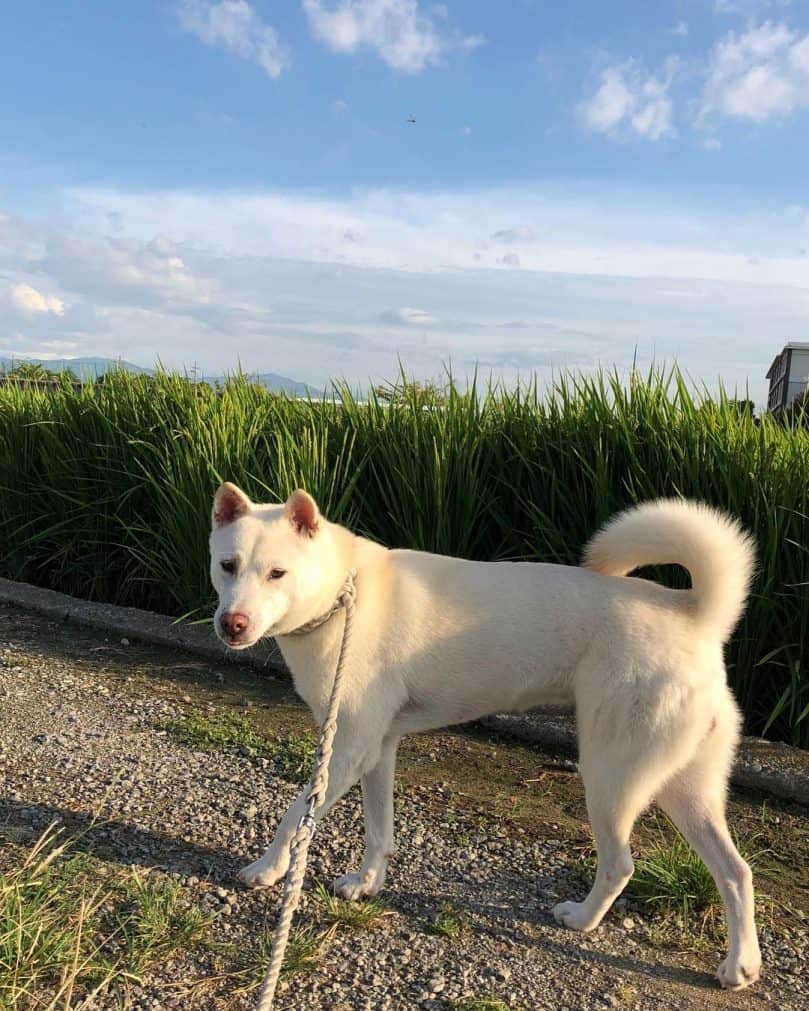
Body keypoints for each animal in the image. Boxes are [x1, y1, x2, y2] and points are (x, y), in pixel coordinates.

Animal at [211, 485, 760, 990]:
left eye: (277, 573)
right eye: (227, 565)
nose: (231, 624)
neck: (344, 595)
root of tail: (696, 614)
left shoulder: (345, 751)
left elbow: (293, 819)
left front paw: (267, 870)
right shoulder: (376, 750)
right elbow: (378, 830)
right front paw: (368, 883)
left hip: (610, 779)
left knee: (620, 865)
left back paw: (582, 920)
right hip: (686, 789)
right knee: (736, 872)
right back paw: (740, 965)